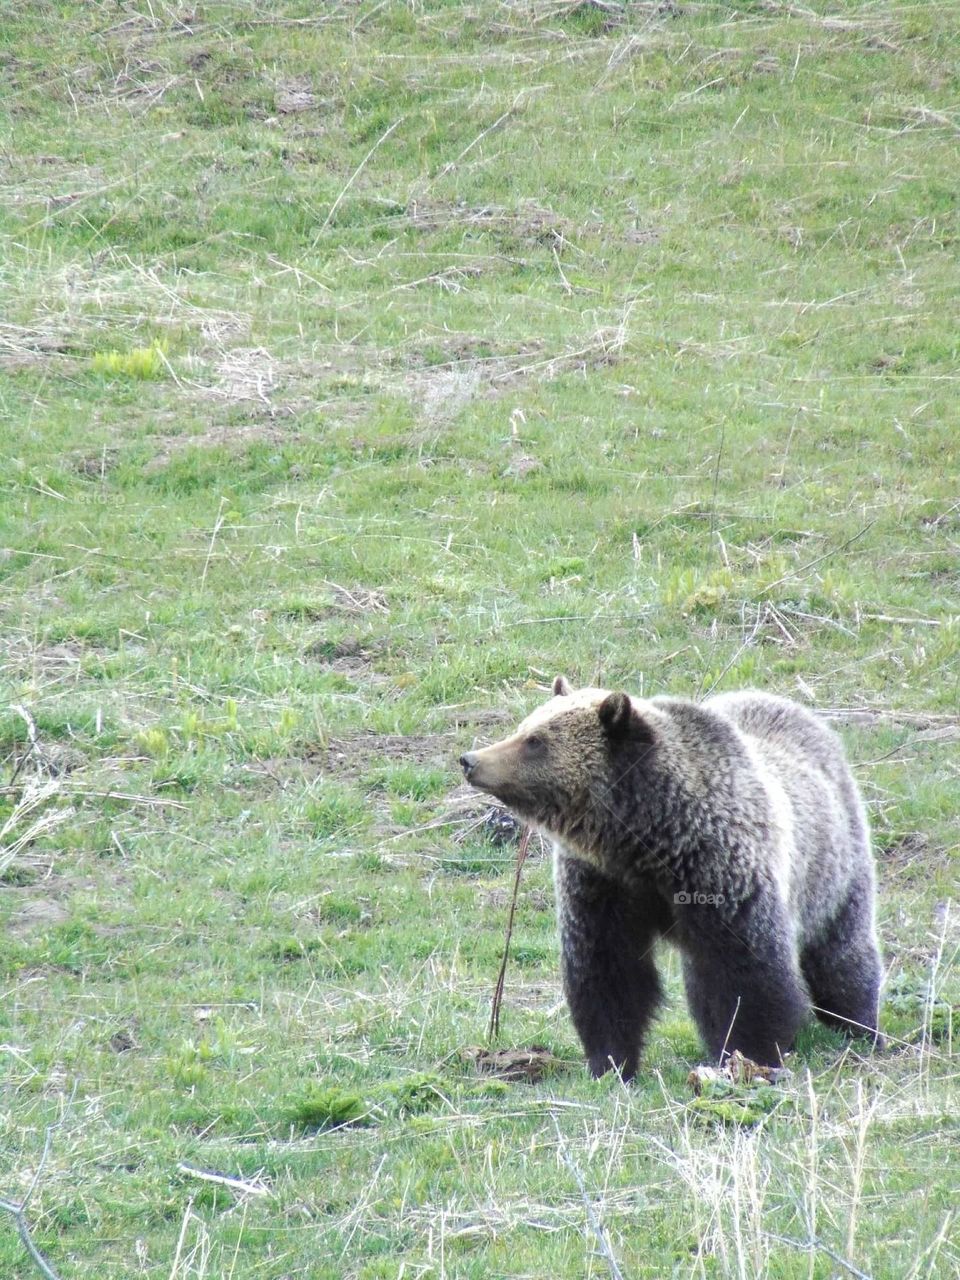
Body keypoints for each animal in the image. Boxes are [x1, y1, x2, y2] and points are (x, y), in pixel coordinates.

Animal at [463, 680, 885, 1080]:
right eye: (525, 727)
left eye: (536, 740)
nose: (470, 760)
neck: (648, 838)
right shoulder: (602, 886)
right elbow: (608, 973)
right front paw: (611, 1063)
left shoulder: (721, 877)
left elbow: (748, 976)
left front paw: (752, 1053)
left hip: (834, 868)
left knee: (841, 954)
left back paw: (860, 1026)